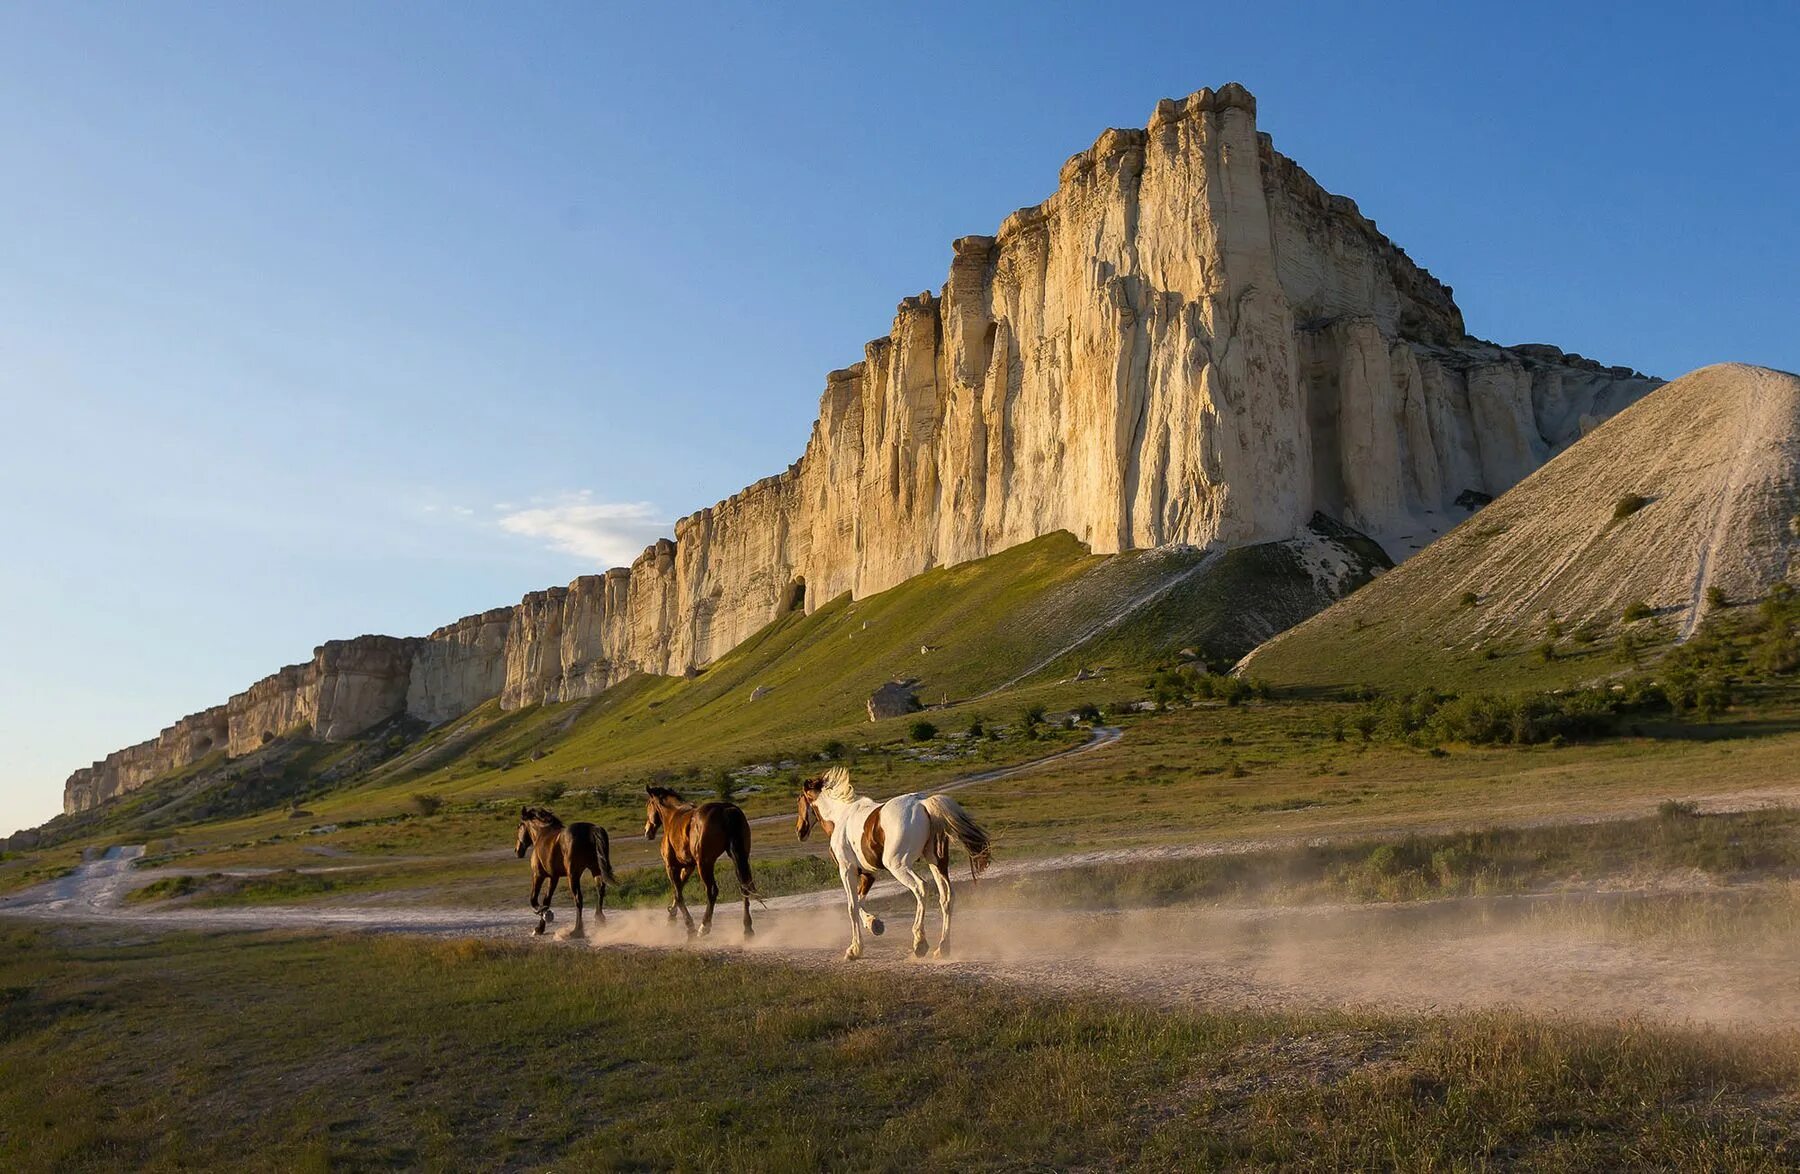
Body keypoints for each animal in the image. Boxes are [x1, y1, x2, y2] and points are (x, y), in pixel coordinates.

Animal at [514, 803, 619, 943]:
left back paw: (576, 931)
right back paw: (599, 921)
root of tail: (591, 830)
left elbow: (533, 899)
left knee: (578, 899)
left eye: (519, 826)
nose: (517, 850)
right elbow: (547, 899)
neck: (542, 834)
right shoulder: (553, 877)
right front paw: (541, 926)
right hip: (596, 870)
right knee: (600, 891)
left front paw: (544, 914)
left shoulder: (538, 875)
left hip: (573, 876)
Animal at [640, 785, 759, 943]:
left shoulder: (671, 867)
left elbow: (678, 894)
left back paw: (704, 927)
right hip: (740, 858)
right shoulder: (688, 866)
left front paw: (689, 927)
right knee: (744, 887)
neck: (672, 816)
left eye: (648, 805)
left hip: (705, 863)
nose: (647, 831)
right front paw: (671, 917)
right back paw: (747, 929)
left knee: (712, 891)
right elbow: (678, 890)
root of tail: (725, 810)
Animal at [799, 767, 1000, 957]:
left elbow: (852, 906)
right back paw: (942, 948)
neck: (841, 817)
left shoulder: (847, 869)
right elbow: (860, 900)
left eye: (800, 800)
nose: (800, 832)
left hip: (898, 865)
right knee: (946, 897)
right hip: (936, 862)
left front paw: (855, 949)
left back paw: (920, 942)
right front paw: (874, 924)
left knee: (921, 887)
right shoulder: (868, 873)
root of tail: (922, 803)